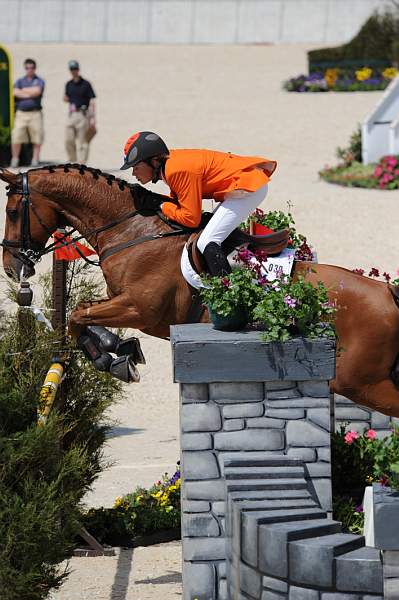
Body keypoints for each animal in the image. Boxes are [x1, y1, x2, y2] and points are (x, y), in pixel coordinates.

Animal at [2, 164, 399, 418]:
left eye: (12, 210)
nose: (11, 266)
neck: (131, 232)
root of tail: (386, 294)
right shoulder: (122, 302)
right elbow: (82, 312)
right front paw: (120, 350)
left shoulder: (140, 309)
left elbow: (77, 314)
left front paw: (109, 359)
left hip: (360, 382)